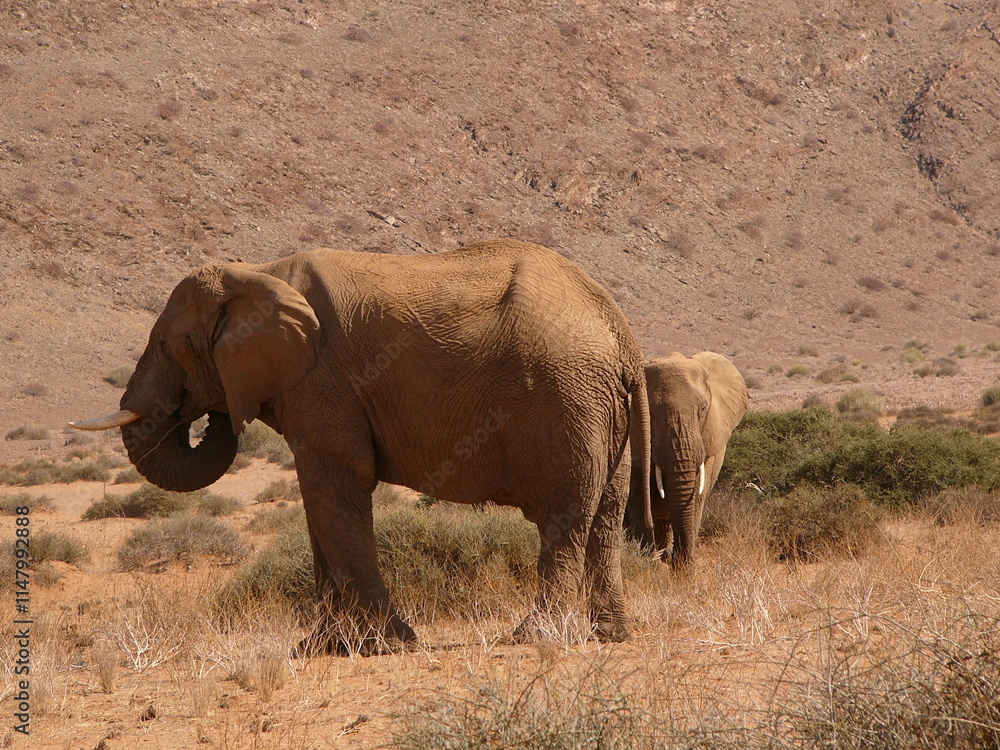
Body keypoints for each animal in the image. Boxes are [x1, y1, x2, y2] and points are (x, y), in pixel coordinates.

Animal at [72, 239, 651, 654]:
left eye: (172, 344)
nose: (206, 412)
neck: (258, 270)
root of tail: (621, 332)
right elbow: (319, 505)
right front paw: (320, 648)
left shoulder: (324, 379)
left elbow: (336, 485)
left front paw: (385, 645)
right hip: (598, 407)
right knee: (605, 515)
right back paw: (611, 634)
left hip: (562, 397)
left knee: (563, 517)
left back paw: (534, 638)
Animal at [624, 352, 748, 568]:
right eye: (650, 413)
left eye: (703, 409)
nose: (667, 556)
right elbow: (637, 500)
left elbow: (697, 498)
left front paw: (682, 570)